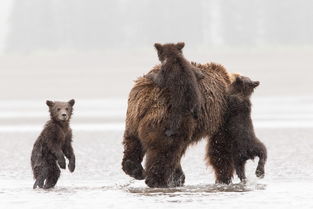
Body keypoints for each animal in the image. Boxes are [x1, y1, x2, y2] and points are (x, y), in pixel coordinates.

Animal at [121, 43, 232, 187]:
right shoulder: (222, 114)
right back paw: (157, 180)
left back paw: (137, 171)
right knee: (164, 151)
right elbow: (221, 144)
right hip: (167, 119)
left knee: (132, 142)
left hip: (133, 117)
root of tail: (147, 96)